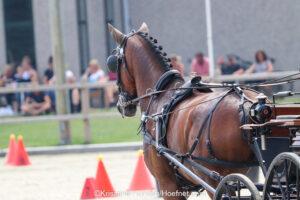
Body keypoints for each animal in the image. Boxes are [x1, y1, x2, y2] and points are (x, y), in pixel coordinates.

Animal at [108, 23, 260, 198]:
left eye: (113, 62)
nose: (121, 105)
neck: (160, 94)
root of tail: (248, 105)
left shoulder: (168, 184)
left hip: (216, 181)